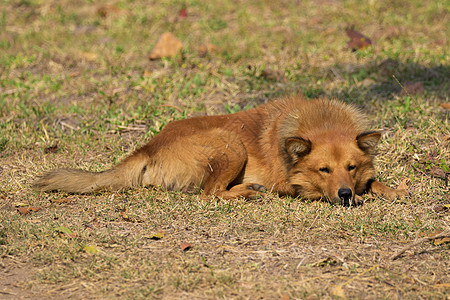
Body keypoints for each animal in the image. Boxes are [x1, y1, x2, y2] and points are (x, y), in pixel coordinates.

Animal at [34, 96, 408, 204]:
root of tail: (148, 146)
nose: (345, 194)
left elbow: (375, 181)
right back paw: (249, 191)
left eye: (351, 167)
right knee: (209, 193)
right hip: (230, 144)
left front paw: (391, 189)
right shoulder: (293, 184)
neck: (321, 121)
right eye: (323, 170)